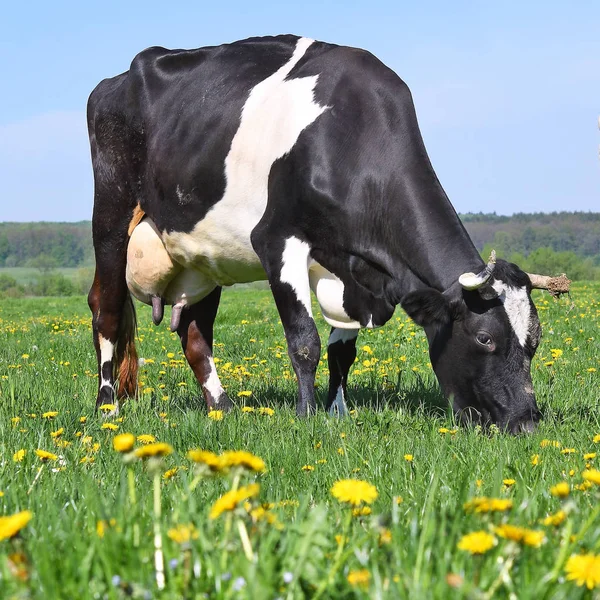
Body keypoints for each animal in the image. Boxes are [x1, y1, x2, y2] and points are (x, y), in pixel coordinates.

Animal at [88, 35, 564, 434]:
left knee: (194, 333)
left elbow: (342, 352)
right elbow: (305, 341)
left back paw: (220, 407)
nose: (526, 423)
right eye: (485, 338)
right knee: (106, 310)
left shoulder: (350, 273)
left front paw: (338, 412)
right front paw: (306, 414)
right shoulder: (276, 239)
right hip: (112, 215)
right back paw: (107, 407)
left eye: (535, 341)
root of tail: (119, 78)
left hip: (203, 252)